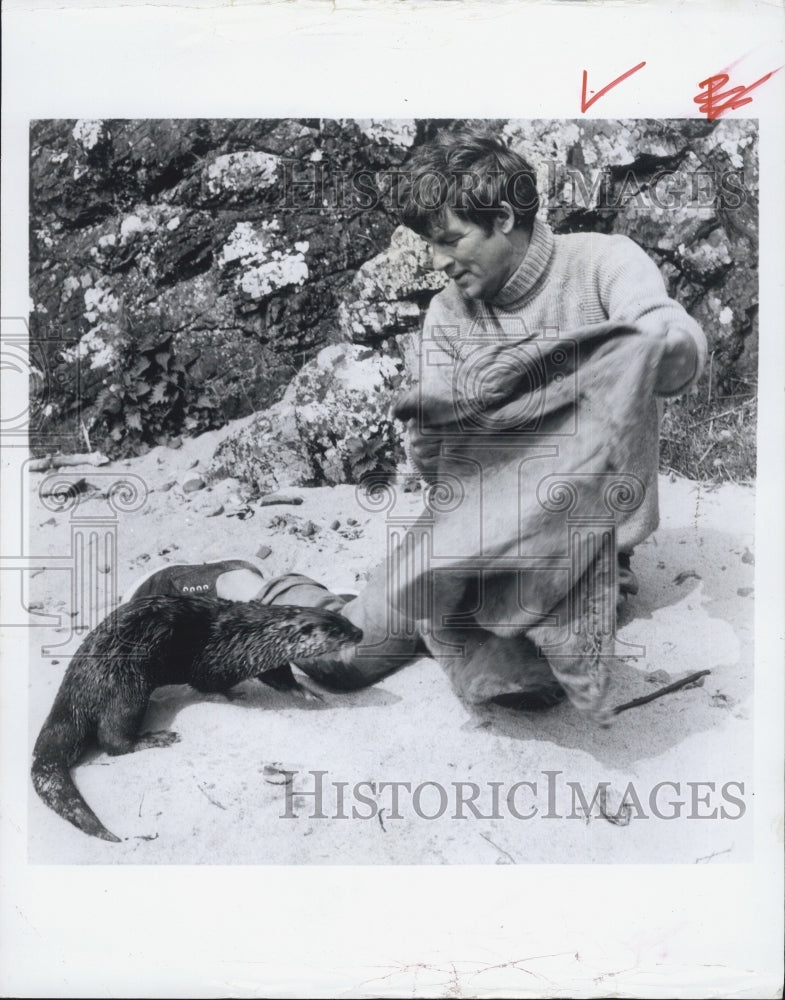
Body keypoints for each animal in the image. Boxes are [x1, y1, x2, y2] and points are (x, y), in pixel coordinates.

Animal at [29, 592, 362, 844]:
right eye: (336, 630)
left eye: (345, 620)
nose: (359, 632)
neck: (253, 636)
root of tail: (76, 684)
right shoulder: (218, 660)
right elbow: (208, 682)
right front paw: (231, 694)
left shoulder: (265, 660)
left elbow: (280, 678)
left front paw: (307, 693)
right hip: (125, 684)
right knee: (113, 739)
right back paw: (156, 738)